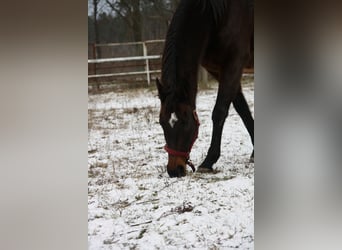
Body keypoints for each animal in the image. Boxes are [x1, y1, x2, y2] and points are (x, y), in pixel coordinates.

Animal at [156, 0, 252, 178]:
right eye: (161, 122)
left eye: (185, 122)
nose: (174, 170)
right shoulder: (218, 70)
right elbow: (242, 109)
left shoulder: (234, 64)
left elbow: (219, 111)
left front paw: (208, 161)